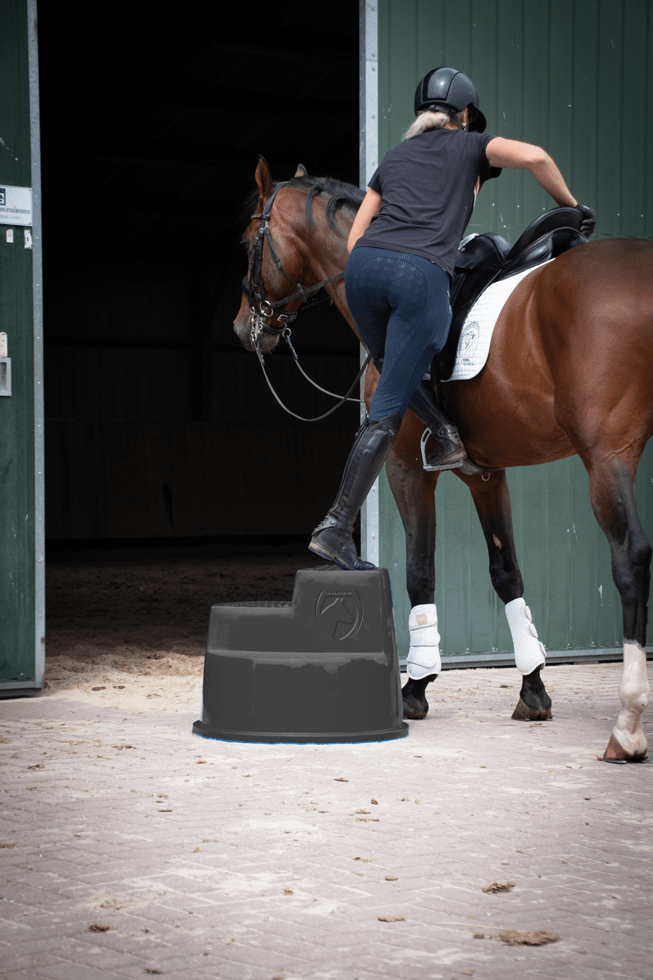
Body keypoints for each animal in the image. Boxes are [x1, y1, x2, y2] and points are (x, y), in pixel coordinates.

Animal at [233, 156, 653, 763]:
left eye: (249, 242)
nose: (245, 327)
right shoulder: (486, 475)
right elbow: (507, 572)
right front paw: (532, 687)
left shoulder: (406, 468)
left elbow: (420, 572)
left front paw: (416, 685)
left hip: (607, 458)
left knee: (630, 559)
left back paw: (626, 725)